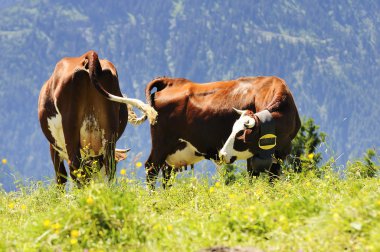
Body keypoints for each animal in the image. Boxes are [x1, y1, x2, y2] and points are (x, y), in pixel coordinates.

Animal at [37, 50, 157, 186]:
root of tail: (88, 55)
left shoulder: (54, 147)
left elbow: (61, 177)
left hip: (70, 126)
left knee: (75, 166)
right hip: (109, 128)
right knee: (109, 165)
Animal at [144, 76, 302, 188]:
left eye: (240, 135)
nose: (222, 154)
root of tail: (170, 81)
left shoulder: (282, 151)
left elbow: (272, 179)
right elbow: (253, 176)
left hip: (172, 151)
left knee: (166, 174)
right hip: (161, 144)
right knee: (151, 169)